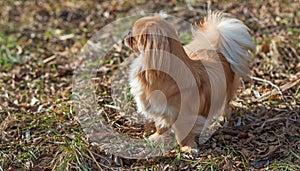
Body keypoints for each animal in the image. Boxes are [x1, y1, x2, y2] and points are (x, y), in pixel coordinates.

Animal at [125, 11, 255, 152]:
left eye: (133, 38)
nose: (126, 34)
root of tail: (217, 49)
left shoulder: (185, 116)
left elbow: (182, 134)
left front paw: (188, 148)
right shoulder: (160, 110)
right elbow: (161, 126)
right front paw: (156, 138)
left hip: (226, 91)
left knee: (226, 105)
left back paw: (223, 117)